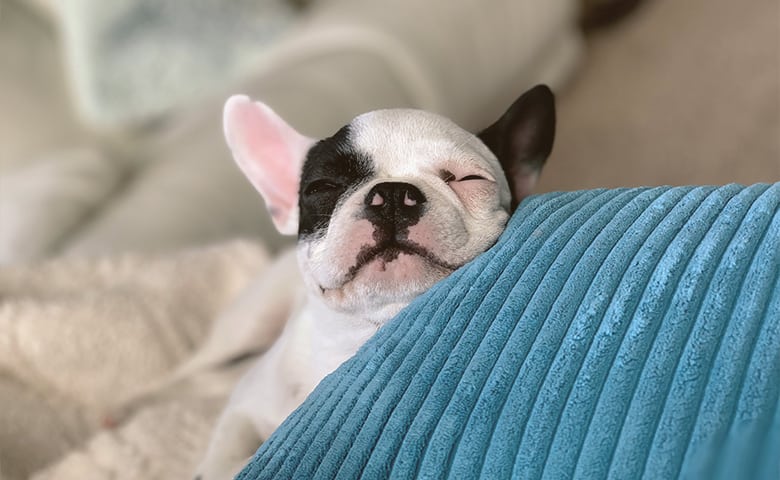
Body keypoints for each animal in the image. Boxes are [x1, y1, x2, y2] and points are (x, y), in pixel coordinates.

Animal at [194, 84, 556, 478]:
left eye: (470, 179)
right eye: (321, 186)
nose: (394, 194)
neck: (357, 340)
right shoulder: (246, 405)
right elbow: (224, 459)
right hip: (250, 322)